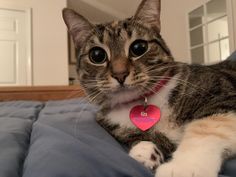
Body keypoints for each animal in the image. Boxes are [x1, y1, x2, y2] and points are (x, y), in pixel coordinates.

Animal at [62, 0, 236, 176]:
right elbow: (138, 135)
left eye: (139, 47)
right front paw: (146, 152)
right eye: (97, 55)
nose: (120, 74)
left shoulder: (221, 93)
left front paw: (183, 167)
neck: (140, 102)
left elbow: (207, 128)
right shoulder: (109, 122)